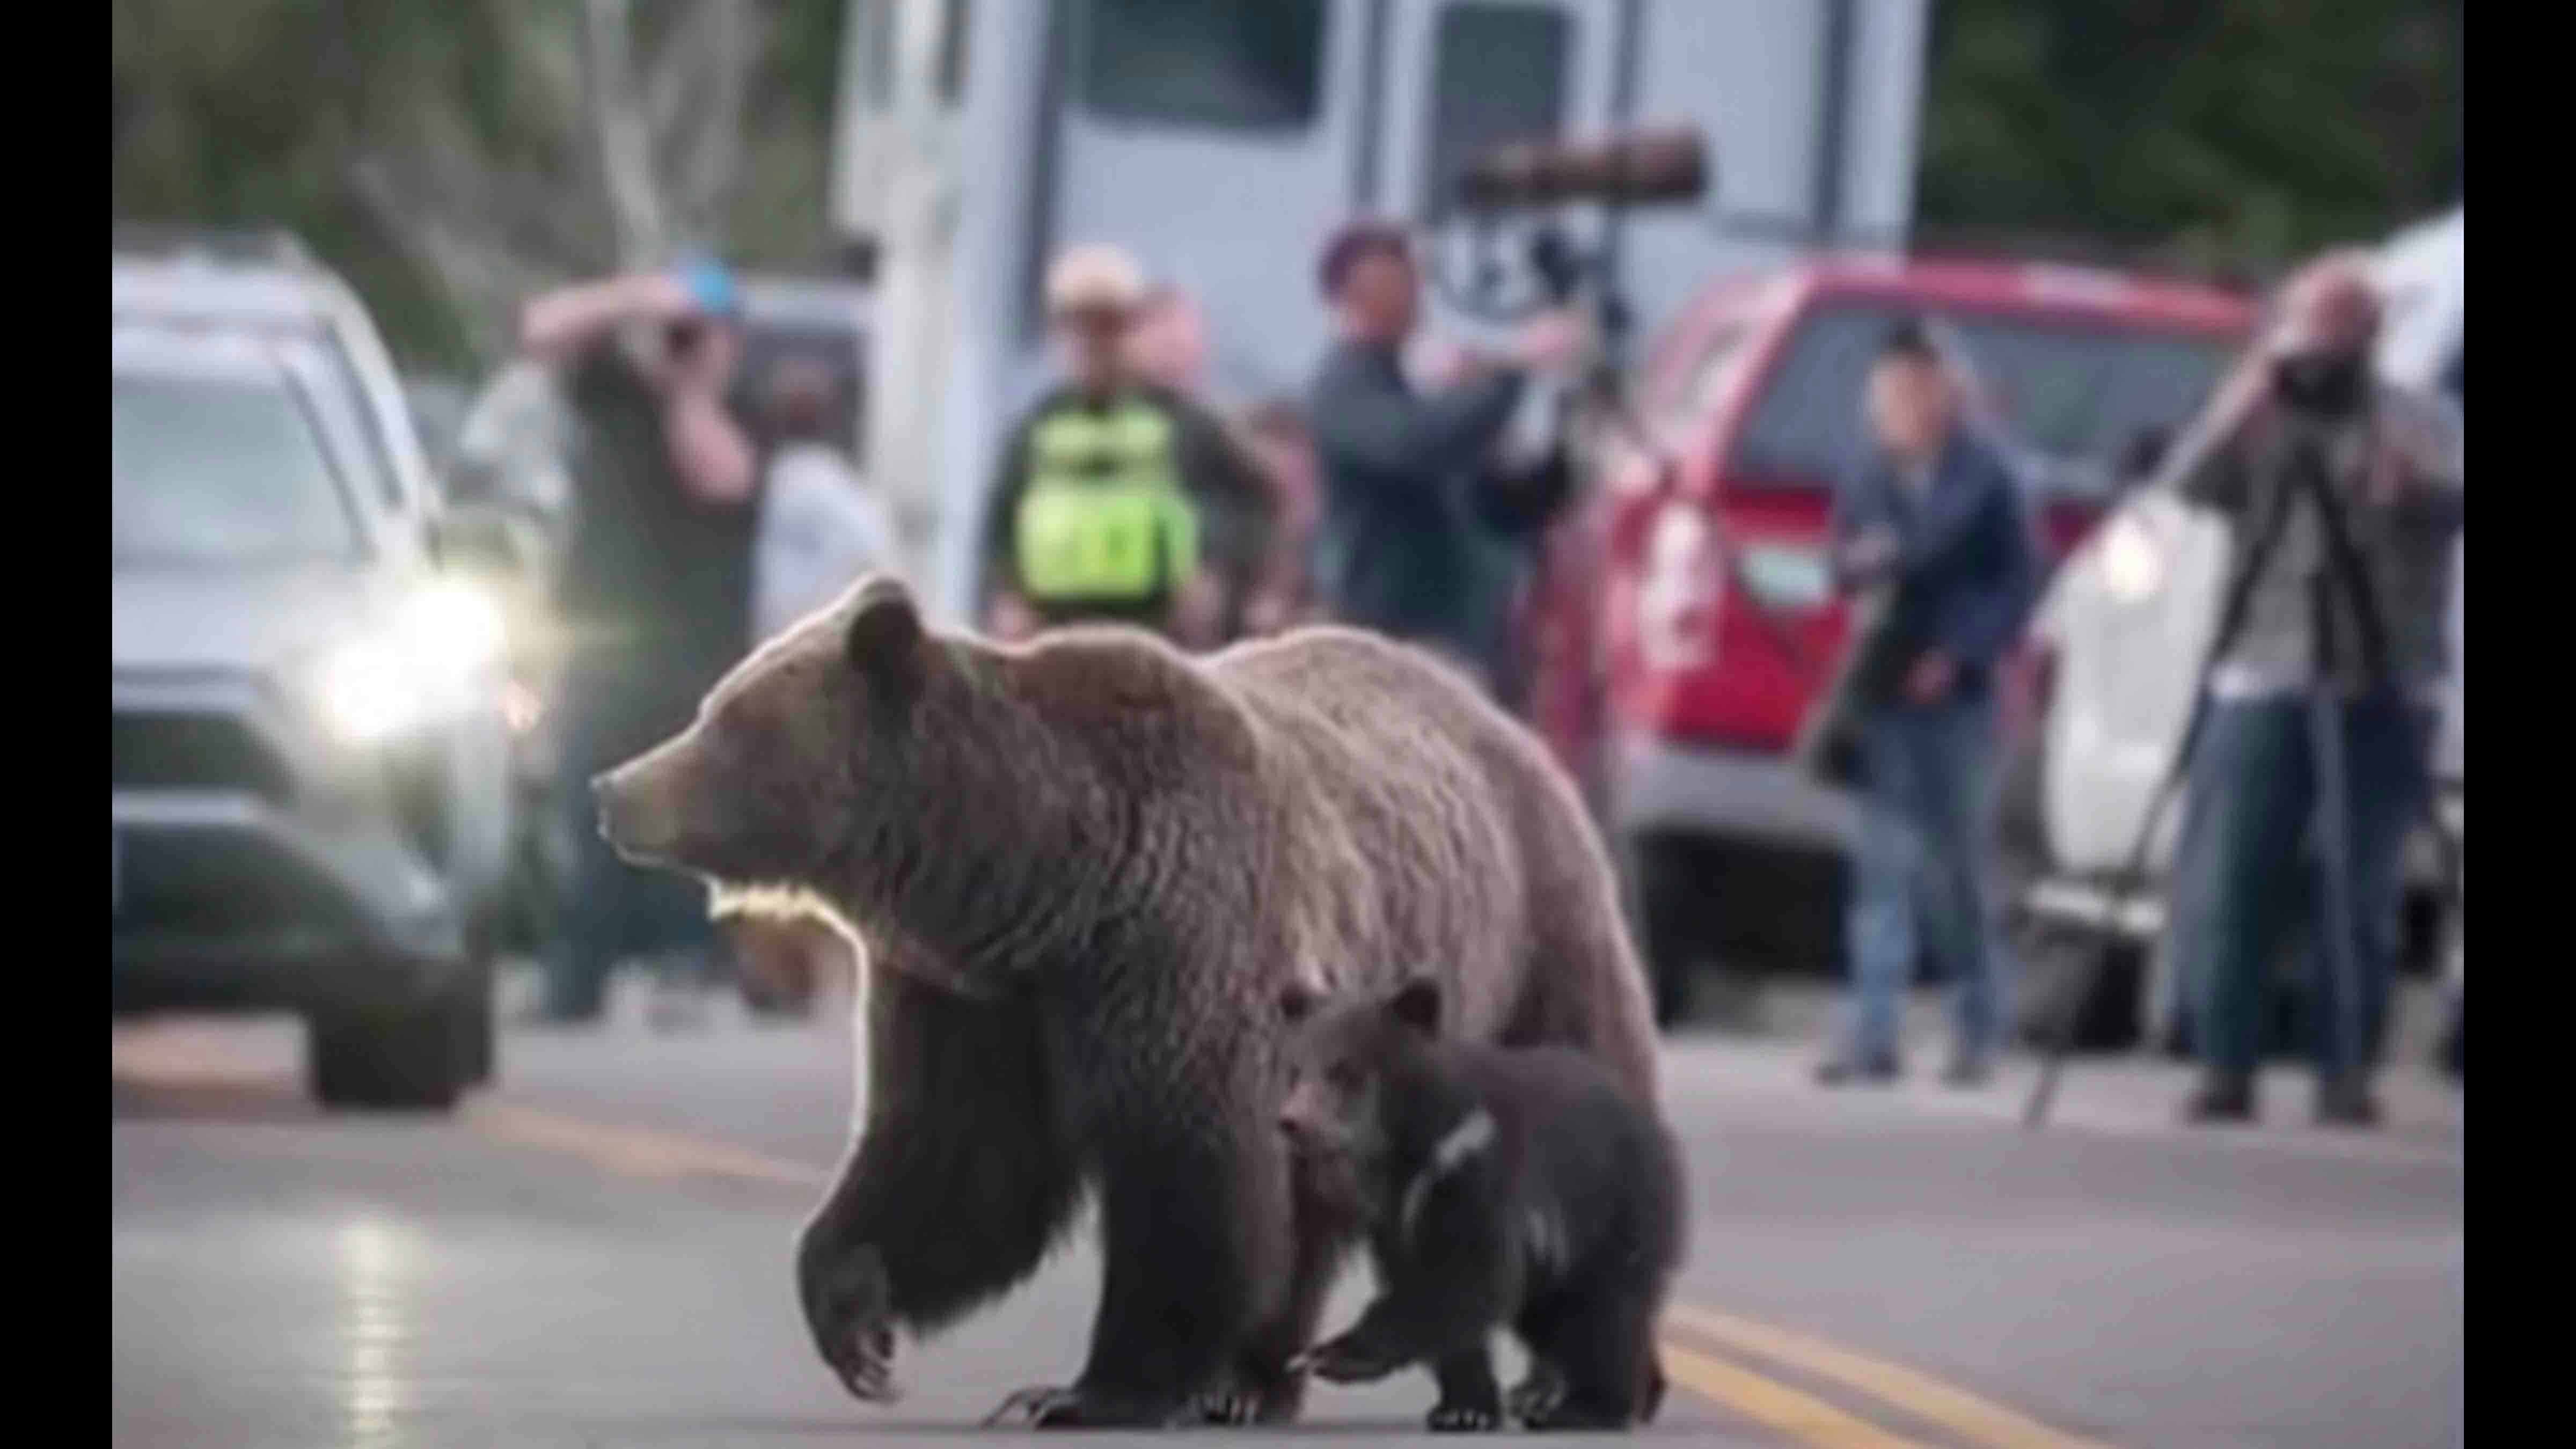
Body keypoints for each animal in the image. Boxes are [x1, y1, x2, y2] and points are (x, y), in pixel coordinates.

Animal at [1277, 976, 1684, 1432]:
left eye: (1345, 1071)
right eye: (1295, 1070)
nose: (1292, 1122)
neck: (1411, 1153)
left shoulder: (1478, 1177)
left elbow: (1468, 1278)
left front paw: (1334, 1354)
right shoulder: (1397, 1217)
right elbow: (1434, 1288)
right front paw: (1463, 1408)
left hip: (1614, 1211)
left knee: (1603, 1311)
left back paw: (1586, 1406)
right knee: (1556, 1315)